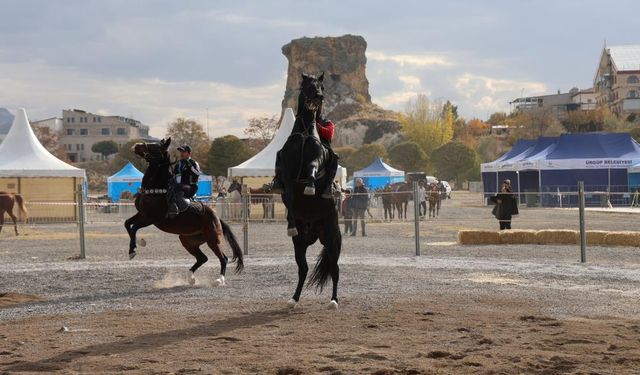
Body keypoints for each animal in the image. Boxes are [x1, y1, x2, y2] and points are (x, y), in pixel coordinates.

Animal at [124, 139, 244, 288]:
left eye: (156, 147)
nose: (136, 145)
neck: (156, 190)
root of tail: (216, 217)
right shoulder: (141, 214)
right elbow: (127, 224)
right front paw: (134, 247)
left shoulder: (150, 218)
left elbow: (134, 228)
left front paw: (135, 248)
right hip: (187, 240)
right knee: (202, 258)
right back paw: (191, 278)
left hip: (213, 240)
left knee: (223, 258)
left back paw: (219, 280)